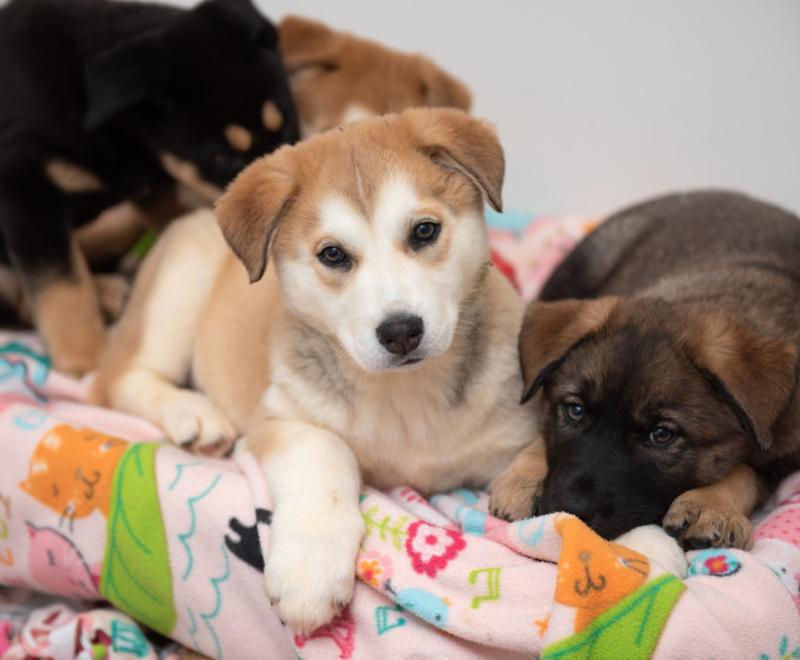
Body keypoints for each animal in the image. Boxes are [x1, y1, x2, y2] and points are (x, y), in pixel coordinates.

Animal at [0, 0, 298, 374]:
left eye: (287, 123)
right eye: (224, 157)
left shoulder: (157, 183)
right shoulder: (27, 188)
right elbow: (61, 283)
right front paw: (87, 359)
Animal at [92, 109, 544, 636]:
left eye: (425, 231)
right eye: (333, 254)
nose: (401, 332)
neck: (406, 396)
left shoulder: (514, 421)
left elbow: (545, 445)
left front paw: (527, 486)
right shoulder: (282, 420)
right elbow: (327, 453)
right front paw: (309, 572)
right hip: (177, 292)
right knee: (116, 379)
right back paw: (194, 416)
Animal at [494, 192, 800, 552]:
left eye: (661, 434)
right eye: (575, 410)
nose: (569, 511)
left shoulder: (783, 457)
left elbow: (746, 470)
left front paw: (713, 505)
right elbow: (542, 430)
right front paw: (523, 477)